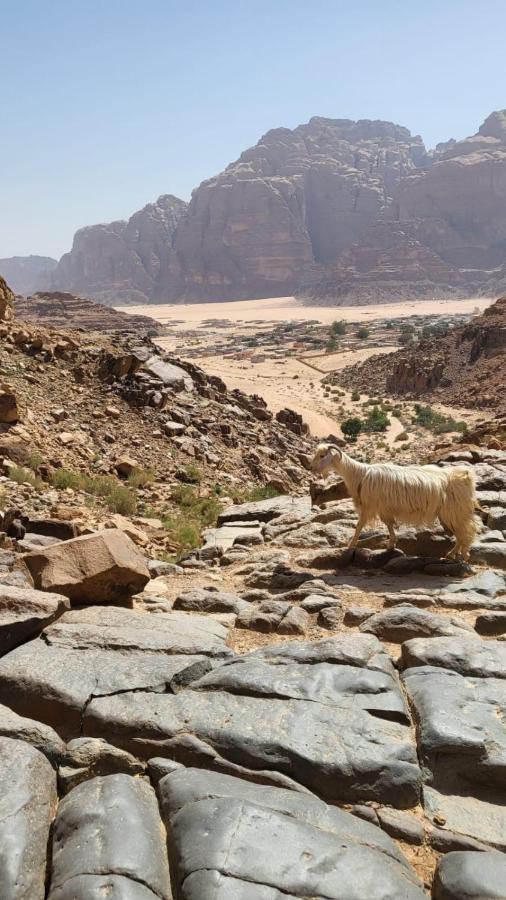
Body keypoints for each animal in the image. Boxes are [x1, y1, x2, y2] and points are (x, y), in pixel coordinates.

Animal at [310, 442, 476, 556]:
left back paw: (459, 554)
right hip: (455, 512)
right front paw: (391, 544)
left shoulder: (369, 507)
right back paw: (456, 554)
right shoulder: (384, 508)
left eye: (323, 455)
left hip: (454, 511)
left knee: (465, 532)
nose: (311, 468)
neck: (359, 474)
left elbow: (359, 526)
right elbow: (389, 524)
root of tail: (465, 476)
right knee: (463, 533)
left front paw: (351, 545)